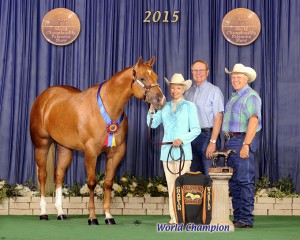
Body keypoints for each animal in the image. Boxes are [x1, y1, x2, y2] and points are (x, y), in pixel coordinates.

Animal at [29, 56, 166, 225]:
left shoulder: (116, 153)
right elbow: (92, 183)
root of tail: (45, 96)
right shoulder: (91, 152)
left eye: (157, 77)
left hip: (65, 148)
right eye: (142, 78)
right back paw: (43, 213)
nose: (161, 100)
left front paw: (108, 216)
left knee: (59, 175)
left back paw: (61, 213)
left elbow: (108, 183)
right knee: (42, 175)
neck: (108, 109)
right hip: (41, 144)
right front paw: (92, 217)